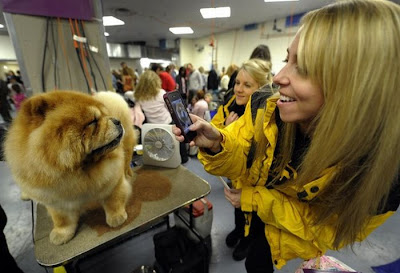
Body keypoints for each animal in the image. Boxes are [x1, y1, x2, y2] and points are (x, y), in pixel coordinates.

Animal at [3, 90, 136, 243]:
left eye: (104, 116)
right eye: (93, 121)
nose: (116, 121)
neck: (77, 170)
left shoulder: (112, 180)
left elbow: (113, 199)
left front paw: (116, 217)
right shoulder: (55, 200)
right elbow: (62, 219)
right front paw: (61, 234)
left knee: (128, 156)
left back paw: (128, 172)